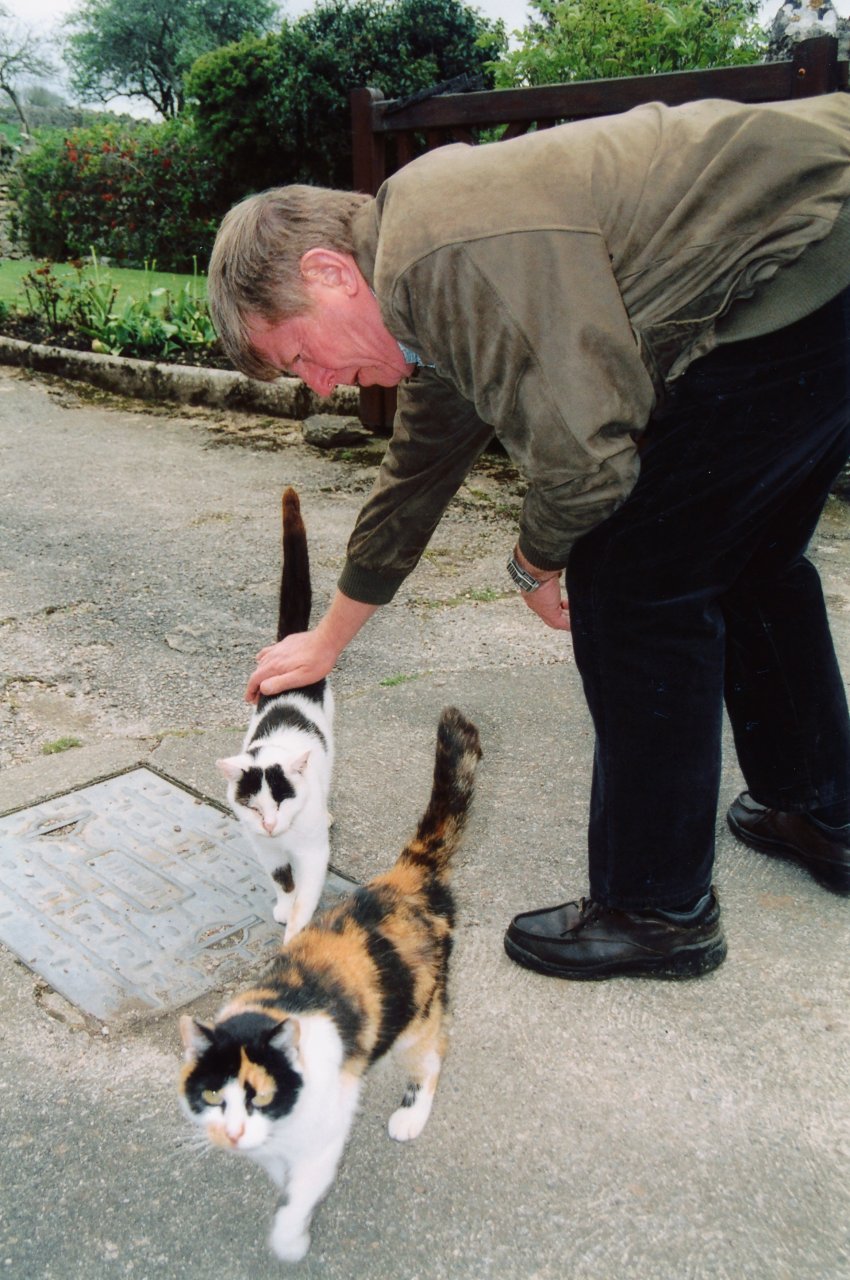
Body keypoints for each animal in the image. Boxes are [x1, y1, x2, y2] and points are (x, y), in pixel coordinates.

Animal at [177, 706, 481, 1264]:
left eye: (259, 1095)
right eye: (211, 1096)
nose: (233, 1133)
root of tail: (405, 875)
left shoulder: (326, 1126)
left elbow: (305, 1184)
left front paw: (290, 1238)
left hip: (420, 1012)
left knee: (433, 1055)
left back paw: (411, 1115)